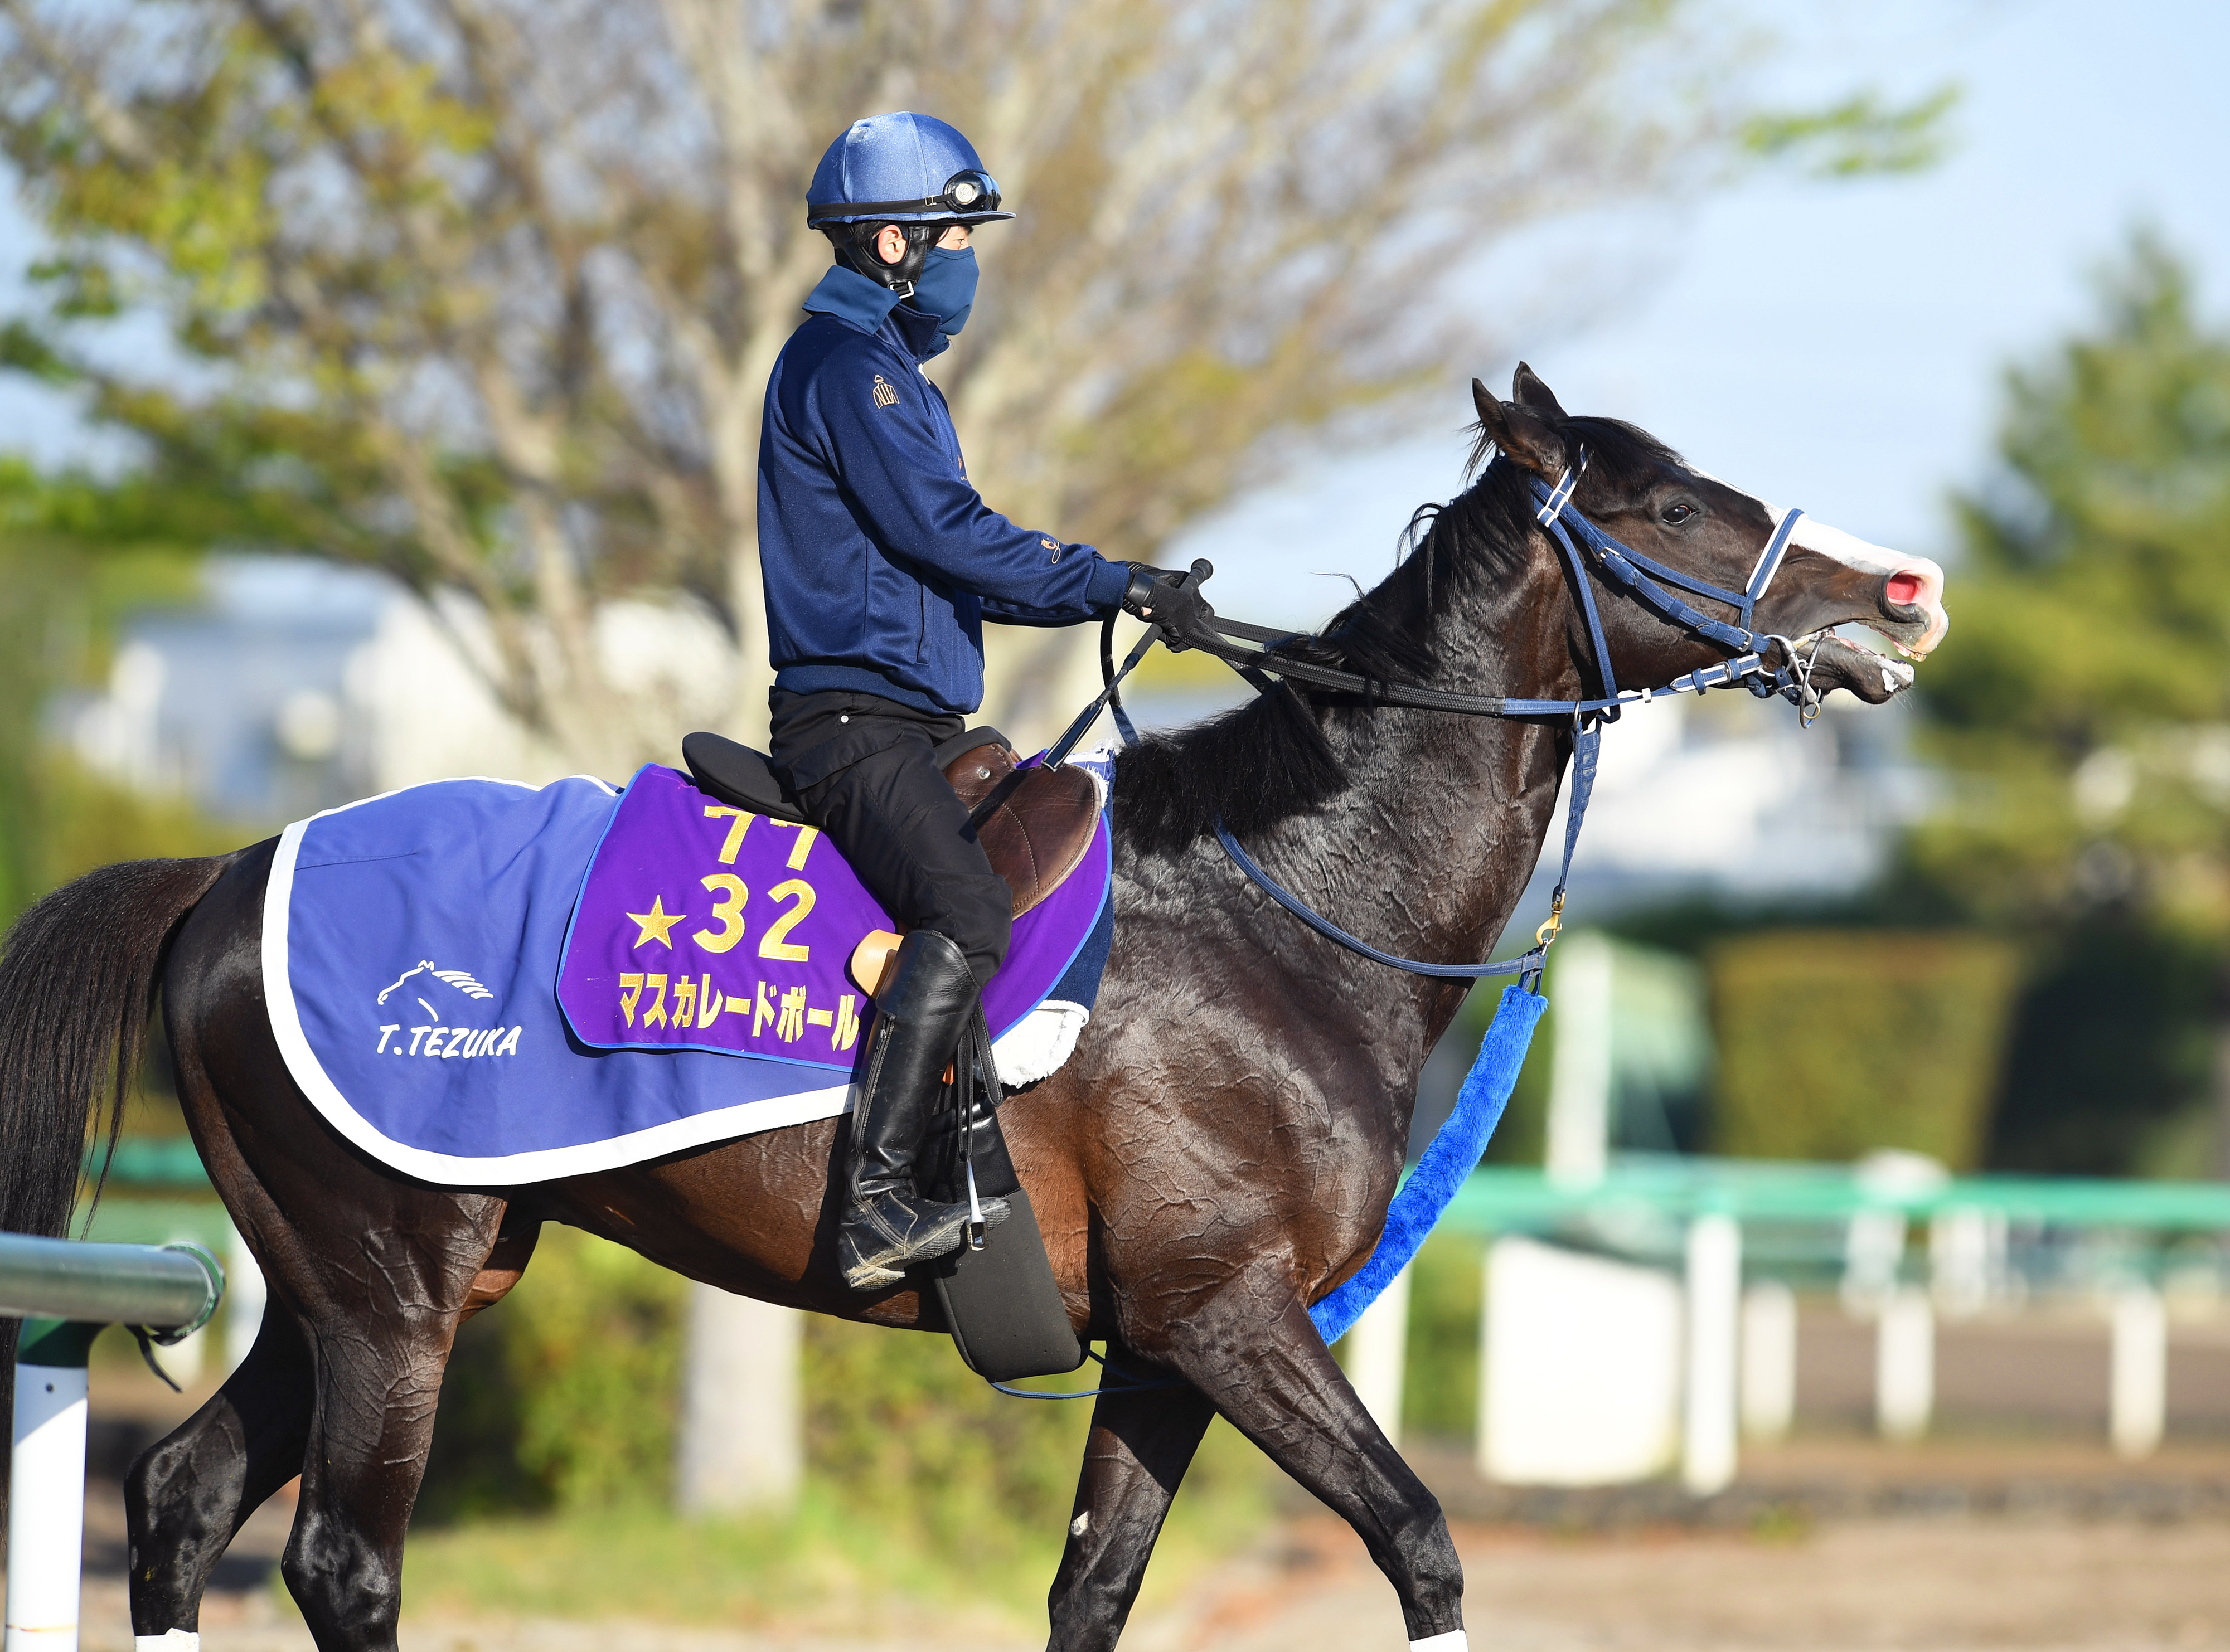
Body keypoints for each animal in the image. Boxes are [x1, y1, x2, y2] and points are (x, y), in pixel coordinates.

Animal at [0, 367, 1947, 1652]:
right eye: (1671, 505)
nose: (1898, 593)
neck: (1288, 893)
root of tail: (232, 867)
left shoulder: (1162, 1350)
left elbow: (1093, 1589)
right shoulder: (1231, 1314)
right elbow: (1417, 1542)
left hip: (361, 1283)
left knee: (179, 1501)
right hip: (394, 1292)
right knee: (344, 1561)